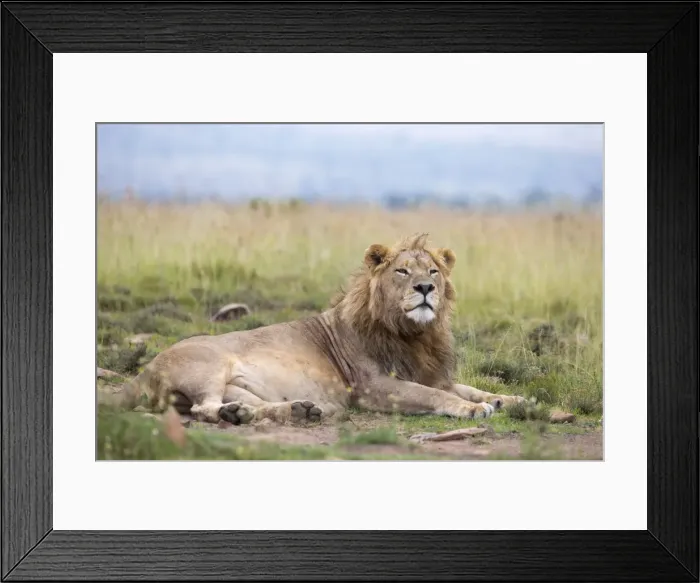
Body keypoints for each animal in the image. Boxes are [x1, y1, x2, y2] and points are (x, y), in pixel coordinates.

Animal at [107, 233, 526, 425]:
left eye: (434, 271)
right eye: (403, 271)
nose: (425, 288)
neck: (414, 334)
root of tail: (146, 369)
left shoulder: (430, 372)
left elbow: (468, 387)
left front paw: (513, 400)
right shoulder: (373, 388)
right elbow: (433, 395)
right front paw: (473, 409)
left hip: (237, 385)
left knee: (238, 404)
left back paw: (294, 410)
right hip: (209, 366)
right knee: (203, 408)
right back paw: (241, 415)